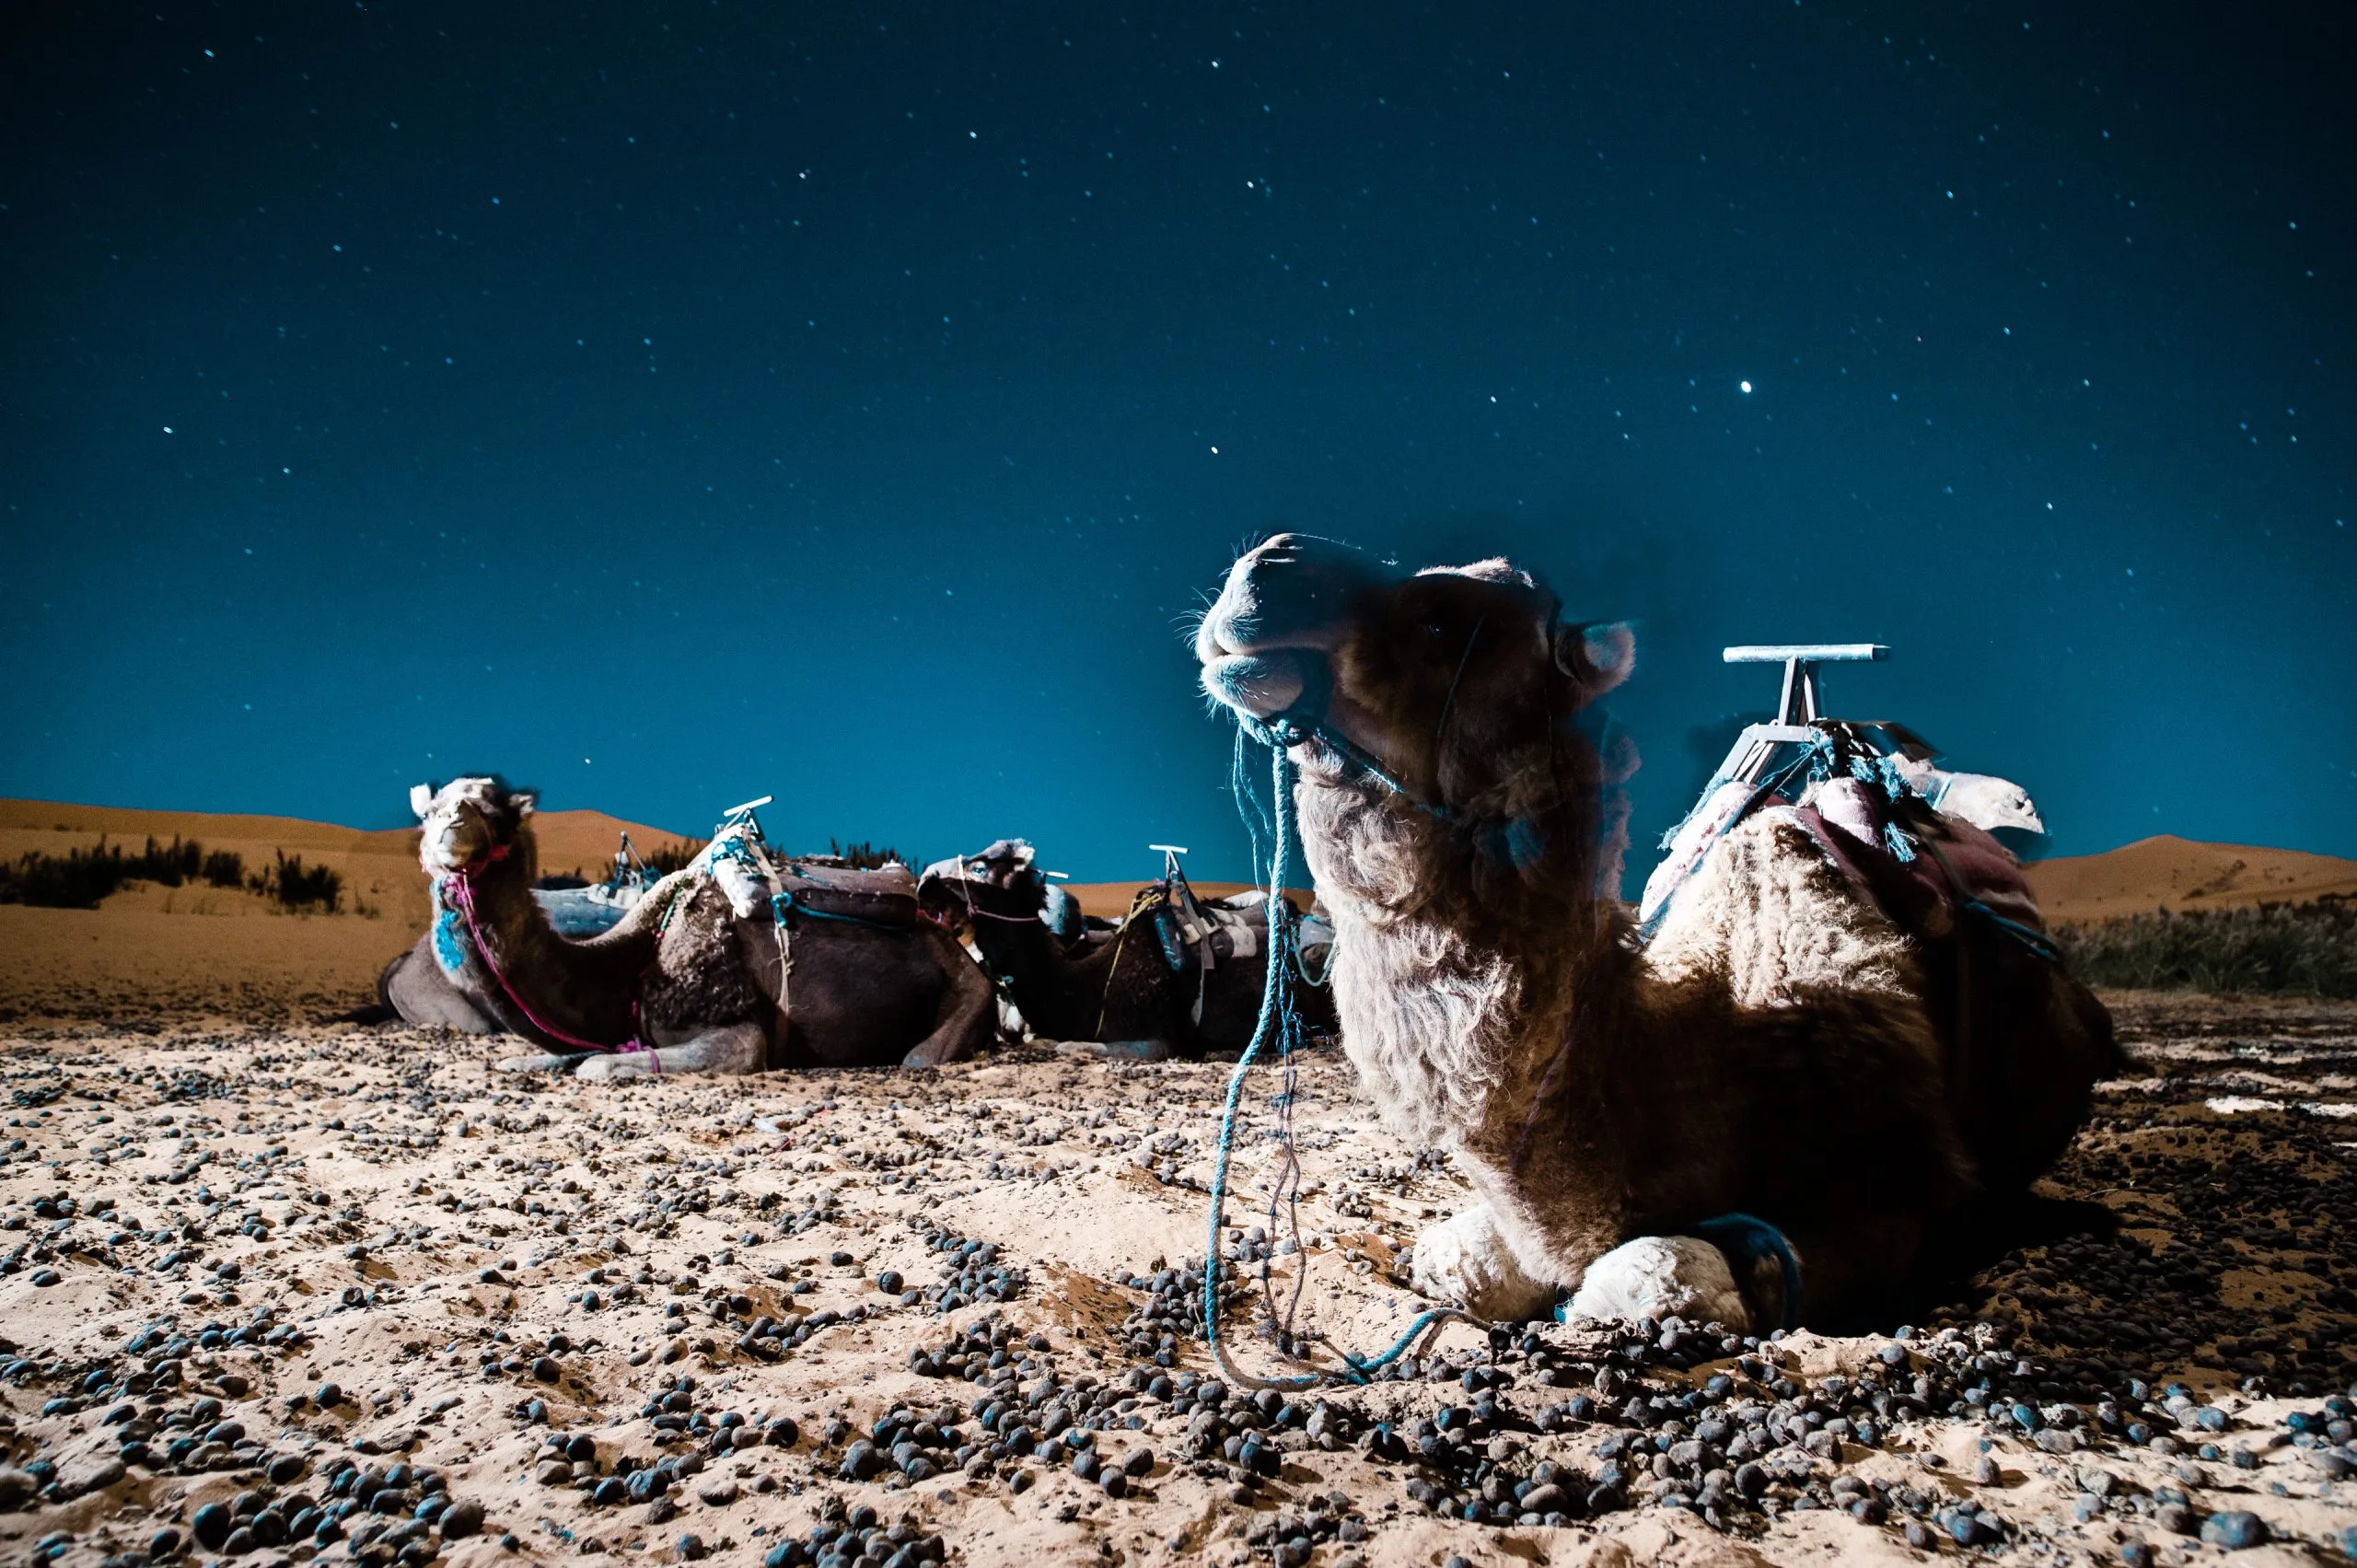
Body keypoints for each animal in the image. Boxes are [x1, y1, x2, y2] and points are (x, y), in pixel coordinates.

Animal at [394, 778, 998, 1077]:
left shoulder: (738, 1029)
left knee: (922, 1053)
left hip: (965, 989)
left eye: (496, 808)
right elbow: (557, 1055)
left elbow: (598, 1067)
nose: (452, 829)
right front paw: (529, 1059)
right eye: (431, 810)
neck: (630, 964)